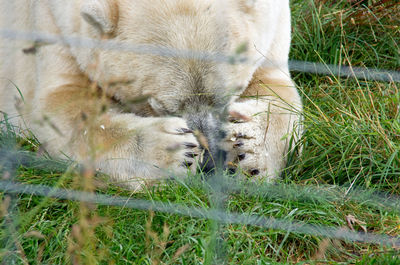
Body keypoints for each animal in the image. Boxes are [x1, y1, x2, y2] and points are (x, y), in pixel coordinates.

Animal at [0, 0, 300, 190]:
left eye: (230, 96)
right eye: (161, 106)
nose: (210, 160)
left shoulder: (272, 21)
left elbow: (278, 89)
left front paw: (247, 151)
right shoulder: (51, 22)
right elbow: (62, 103)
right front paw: (176, 151)